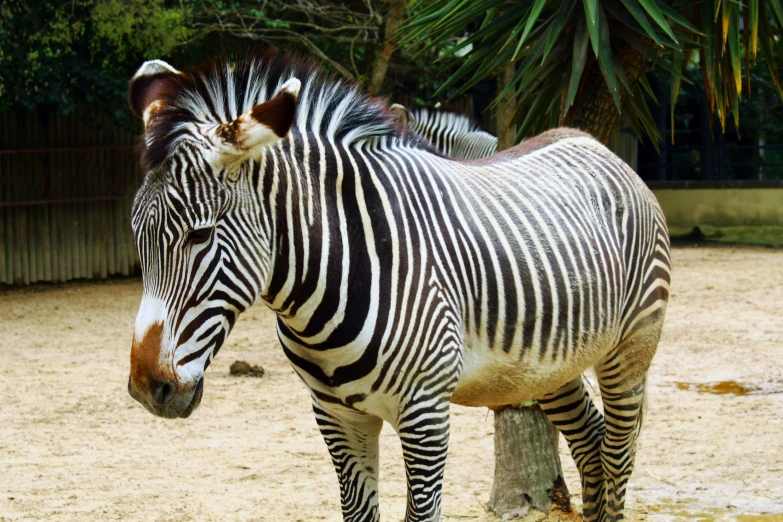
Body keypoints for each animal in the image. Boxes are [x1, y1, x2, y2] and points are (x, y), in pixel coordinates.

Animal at [125, 53, 672, 520]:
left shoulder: (425, 412)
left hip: (630, 349)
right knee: (592, 444)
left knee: (619, 455)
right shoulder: (335, 414)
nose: (147, 389)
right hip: (551, 366)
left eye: (199, 235)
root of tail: (593, 142)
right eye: (137, 235)